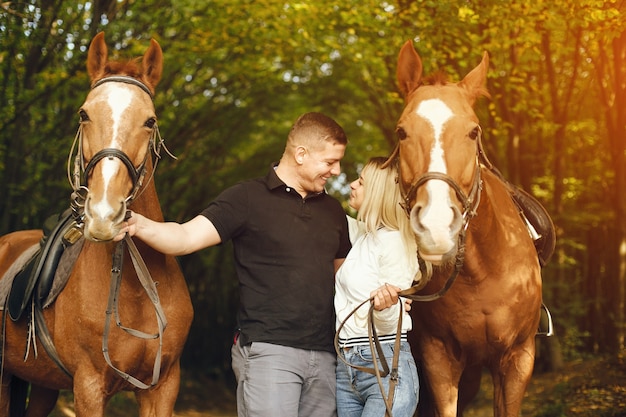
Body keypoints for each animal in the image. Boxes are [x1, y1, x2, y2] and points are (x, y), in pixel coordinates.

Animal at [0, 32, 193, 416]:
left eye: (150, 121)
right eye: (83, 114)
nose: (105, 214)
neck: (134, 289)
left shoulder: (163, 388)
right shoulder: (88, 386)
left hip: (43, 385)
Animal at [394, 39, 540, 416]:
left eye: (473, 131)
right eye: (401, 132)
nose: (435, 226)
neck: (481, 271)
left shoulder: (517, 359)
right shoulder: (439, 359)